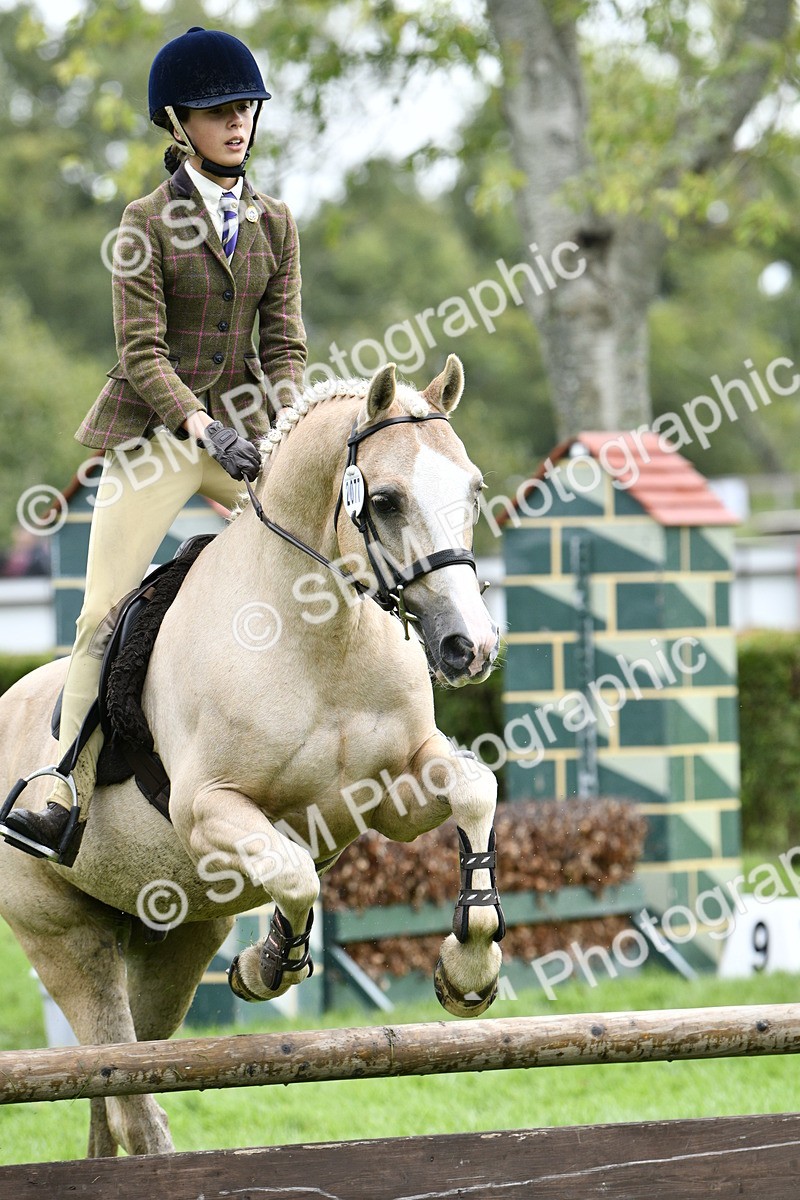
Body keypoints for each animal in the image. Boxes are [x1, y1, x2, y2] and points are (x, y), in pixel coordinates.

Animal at [0, 354, 504, 1158]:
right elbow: (295, 871)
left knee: (117, 1088)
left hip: (170, 943)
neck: (319, 634)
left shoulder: (392, 796)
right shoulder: (209, 811)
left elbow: (475, 789)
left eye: (473, 490)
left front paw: (469, 966)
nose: (469, 647)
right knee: (129, 1097)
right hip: (67, 942)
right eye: (385, 500)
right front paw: (265, 966)